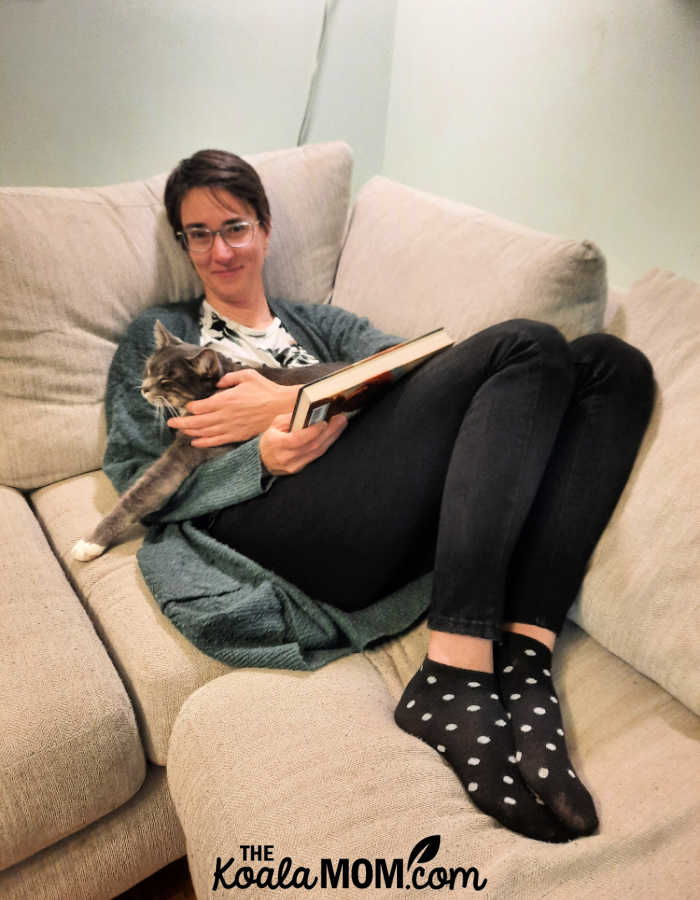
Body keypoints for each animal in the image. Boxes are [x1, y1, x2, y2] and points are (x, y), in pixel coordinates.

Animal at [73, 318, 342, 564]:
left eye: (166, 381)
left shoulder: (187, 450)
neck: (215, 388)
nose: (144, 389)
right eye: (149, 370)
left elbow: (142, 492)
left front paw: (90, 543)